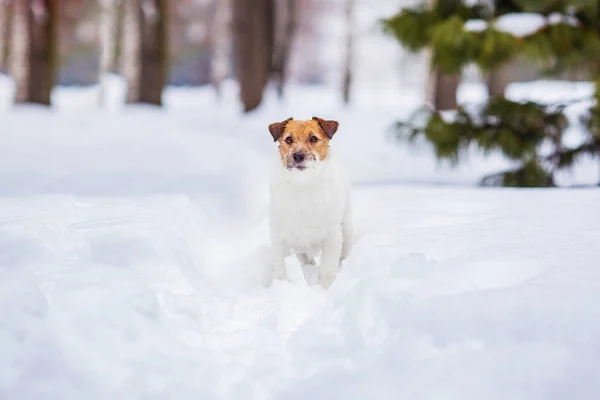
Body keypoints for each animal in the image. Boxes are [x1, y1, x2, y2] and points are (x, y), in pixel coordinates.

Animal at [266, 115, 352, 288]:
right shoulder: (279, 238)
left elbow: (328, 267)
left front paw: (324, 288)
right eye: (289, 139)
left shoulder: (332, 236)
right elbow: (281, 268)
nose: (298, 156)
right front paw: (284, 286)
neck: (303, 184)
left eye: (313, 138)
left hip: (346, 227)